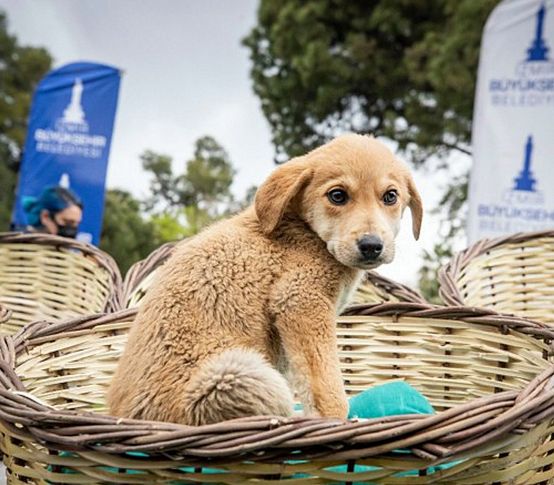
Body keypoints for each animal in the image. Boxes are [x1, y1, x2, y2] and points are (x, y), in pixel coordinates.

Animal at [106, 132, 418, 424]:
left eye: (390, 196)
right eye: (337, 196)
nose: (371, 245)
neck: (307, 232)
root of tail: (126, 416)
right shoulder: (301, 301)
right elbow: (327, 386)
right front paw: (337, 422)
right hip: (241, 375)